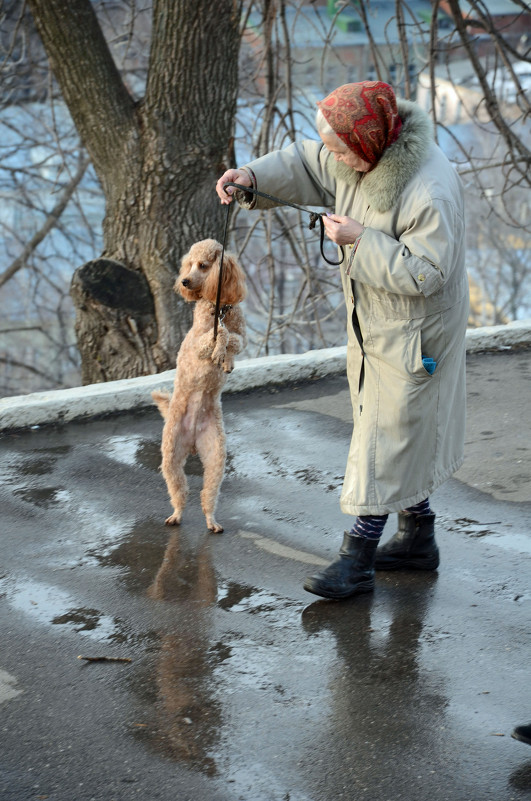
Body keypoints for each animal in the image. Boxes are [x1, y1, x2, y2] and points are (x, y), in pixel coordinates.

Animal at [152, 241, 247, 536]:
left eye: (203, 266)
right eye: (188, 264)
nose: (184, 281)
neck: (220, 308)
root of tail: (193, 442)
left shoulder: (241, 334)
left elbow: (233, 339)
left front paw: (226, 360)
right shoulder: (198, 345)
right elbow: (220, 335)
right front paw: (219, 353)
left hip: (216, 456)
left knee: (208, 493)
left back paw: (211, 520)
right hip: (171, 455)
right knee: (179, 491)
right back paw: (176, 515)